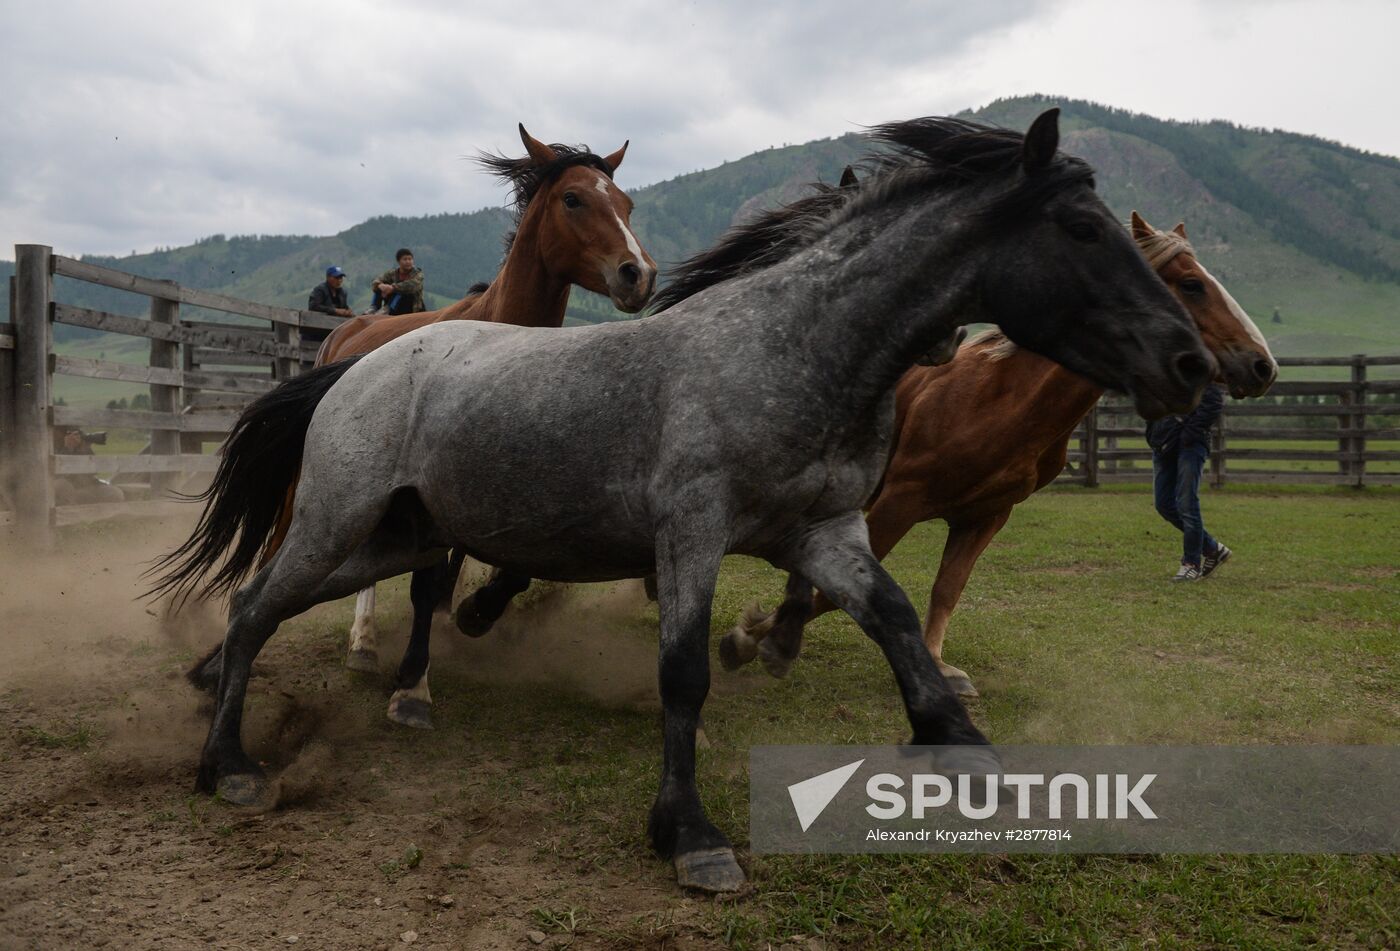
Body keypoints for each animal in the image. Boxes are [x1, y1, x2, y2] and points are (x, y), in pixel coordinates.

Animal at [170, 122, 655, 722]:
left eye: (627, 204)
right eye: (573, 198)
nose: (639, 274)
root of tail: (346, 331)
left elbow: (500, 568)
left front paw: (471, 615)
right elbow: (424, 584)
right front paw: (413, 687)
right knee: (283, 549)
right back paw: (341, 645)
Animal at [722, 211, 1282, 694]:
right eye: (1191, 284)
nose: (1262, 365)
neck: (1002, 400)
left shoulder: (986, 515)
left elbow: (947, 587)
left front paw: (939, 667)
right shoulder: (897, 502)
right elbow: (833, 593)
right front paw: (752, 638)